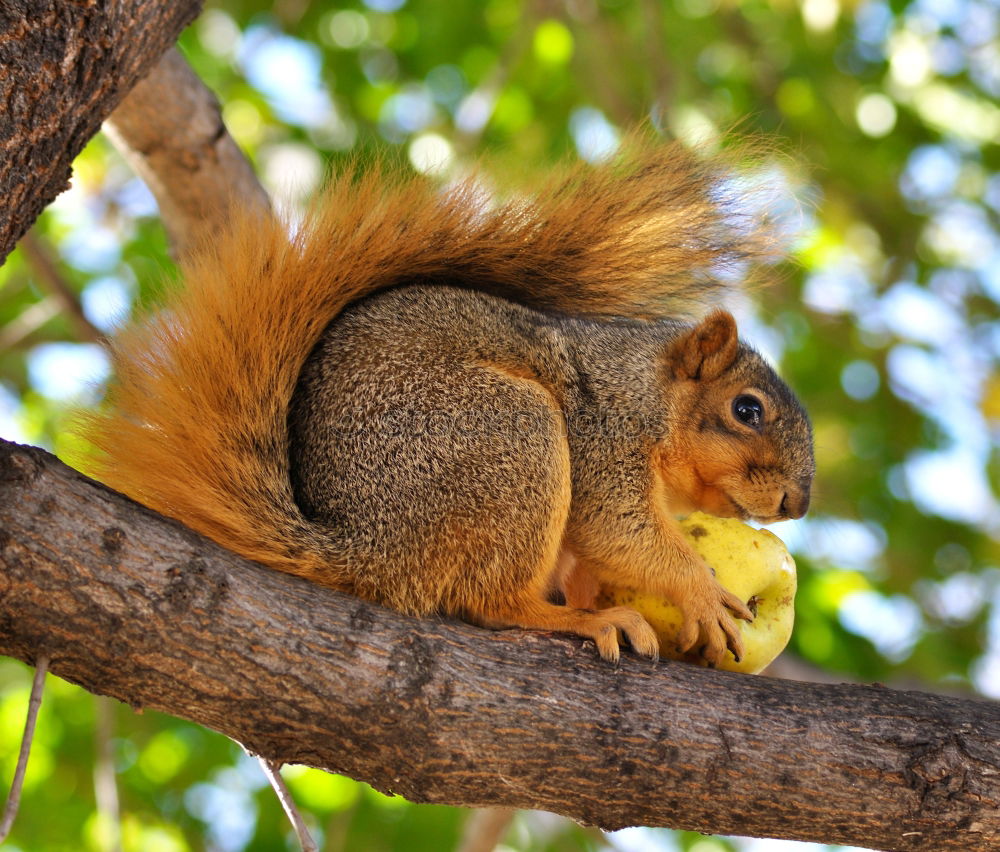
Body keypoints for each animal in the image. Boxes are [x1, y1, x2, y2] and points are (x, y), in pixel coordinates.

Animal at [76, 138, 812, 664]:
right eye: (747, 410)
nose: (796, 504)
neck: (648, 392)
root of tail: (365, 547)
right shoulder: (603, 432)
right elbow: (616, 525)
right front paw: (699, 591)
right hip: (509, 437)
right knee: (491, 601)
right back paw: (577, 619)